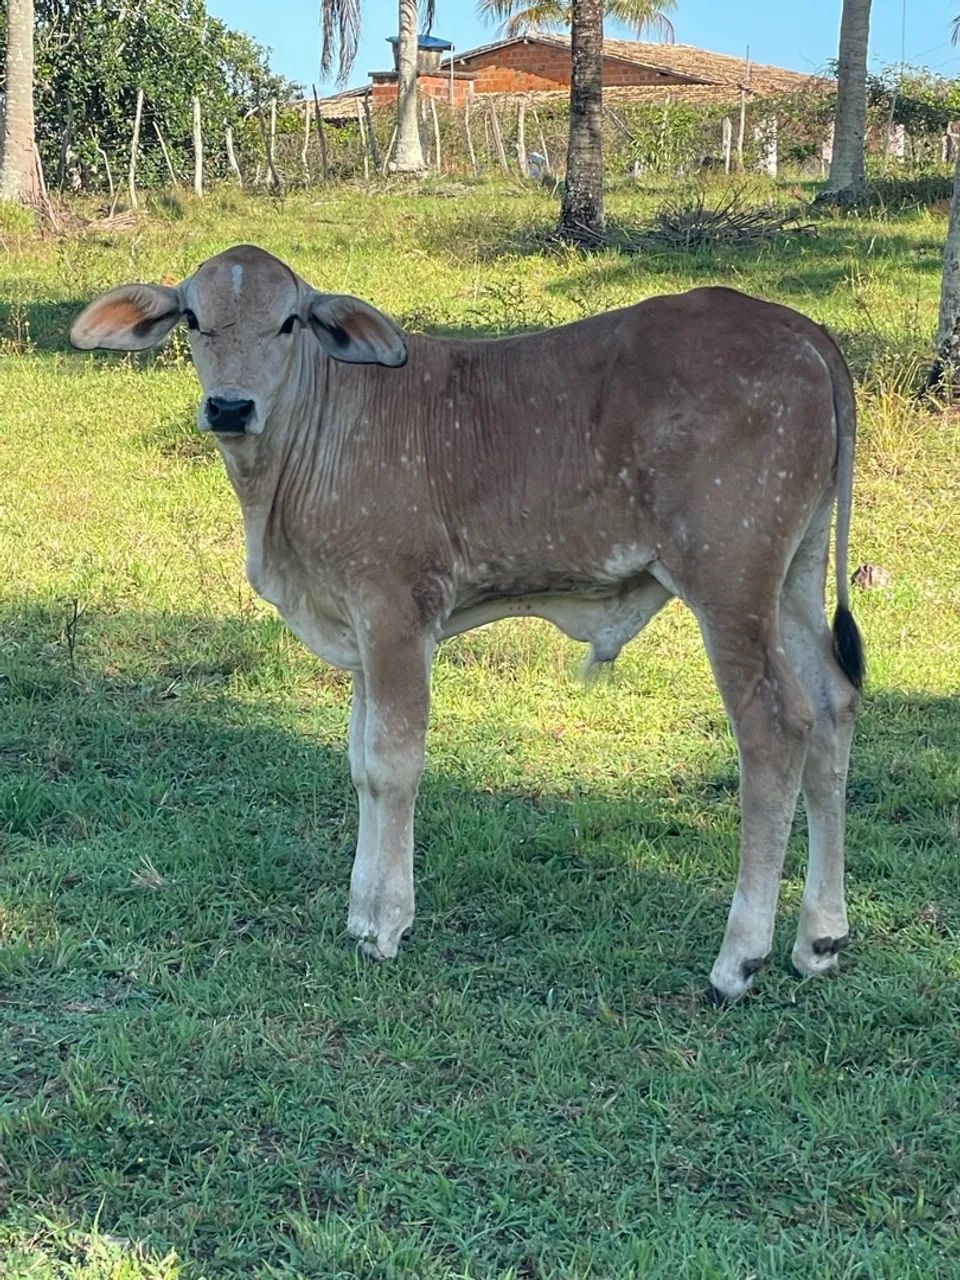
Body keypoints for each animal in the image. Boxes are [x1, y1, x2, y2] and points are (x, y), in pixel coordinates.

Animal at [70, 244, 864, 1003]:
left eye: (289, 321)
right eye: (194, 319)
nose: (231, 407)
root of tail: (803, 331)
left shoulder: (394, 609)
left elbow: (393, 763)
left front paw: (387, 924)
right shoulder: (360, 629)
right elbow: (360, 762)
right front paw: (359, 911)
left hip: (729, 580)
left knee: (775, 729)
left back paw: (739, 959)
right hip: (795, 573)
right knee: (833, 705)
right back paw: (820, 938)